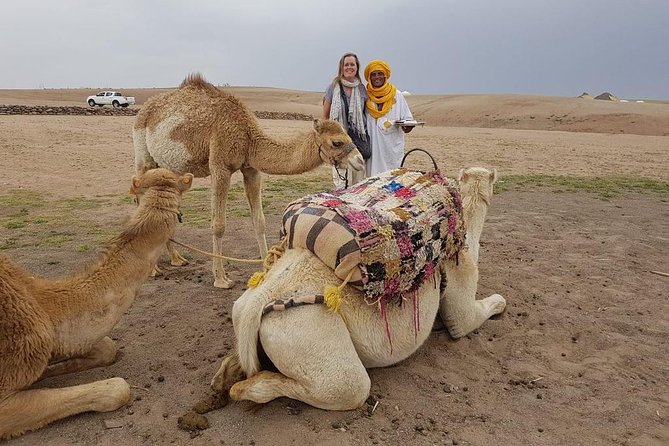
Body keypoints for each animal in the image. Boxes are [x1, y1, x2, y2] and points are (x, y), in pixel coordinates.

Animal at [133, 73, 365, 288]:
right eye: (336, 142)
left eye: (348, 135)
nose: (360, 160)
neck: (248, 137)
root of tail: (143, 111)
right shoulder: (220, 166)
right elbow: (219, 224)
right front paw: (221, 278)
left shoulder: (251, 168)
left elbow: (259, 221)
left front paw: (266, 269)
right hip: (144, 155)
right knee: (140, 195)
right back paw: (153, 268)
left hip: (168, 167)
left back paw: (176, 259)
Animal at [210, 167, 506, 410]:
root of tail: (258, 302)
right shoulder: (461, 269)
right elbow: (464, 321)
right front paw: (501, 303)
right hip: (304, 335)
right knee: (349, 388)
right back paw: (238, 387)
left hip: (249, 315)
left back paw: (223, 378)